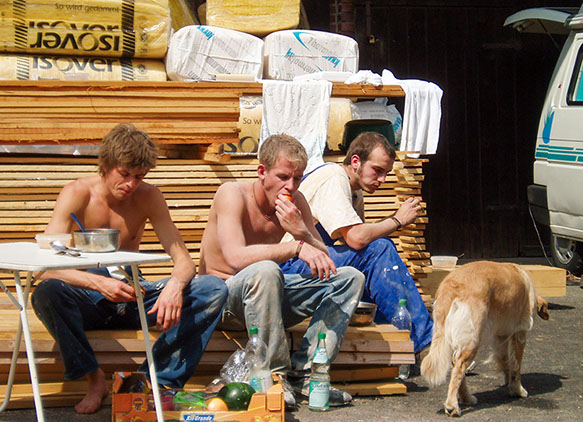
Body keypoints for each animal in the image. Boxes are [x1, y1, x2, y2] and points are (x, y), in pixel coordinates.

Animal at [420, 261, 549, 417]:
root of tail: (451, 286)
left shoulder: (501, 336)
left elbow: (506, 361)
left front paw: (508, 383)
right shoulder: (520, 333)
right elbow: (516, 365)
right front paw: (517, 389)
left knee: (456, 365)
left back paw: (466, 398)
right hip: (473, 339)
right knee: (459, 367)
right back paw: (452, 406)